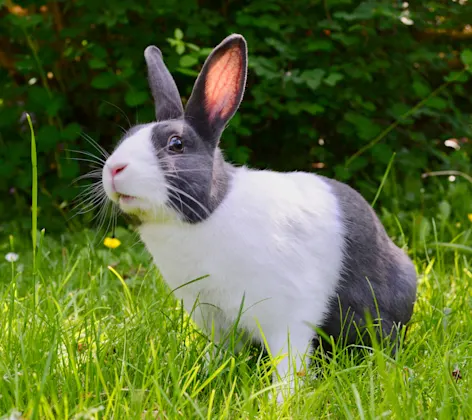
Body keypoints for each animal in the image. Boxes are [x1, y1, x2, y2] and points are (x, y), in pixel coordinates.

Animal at [99, 33, 416, 404]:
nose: (114, 169)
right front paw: (205, 376)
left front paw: (280, 401)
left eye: (176, 144)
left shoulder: (287, 314)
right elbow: (219, 352)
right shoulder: (213, 316)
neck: (208, 214)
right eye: (127, 135)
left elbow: (289, 361)